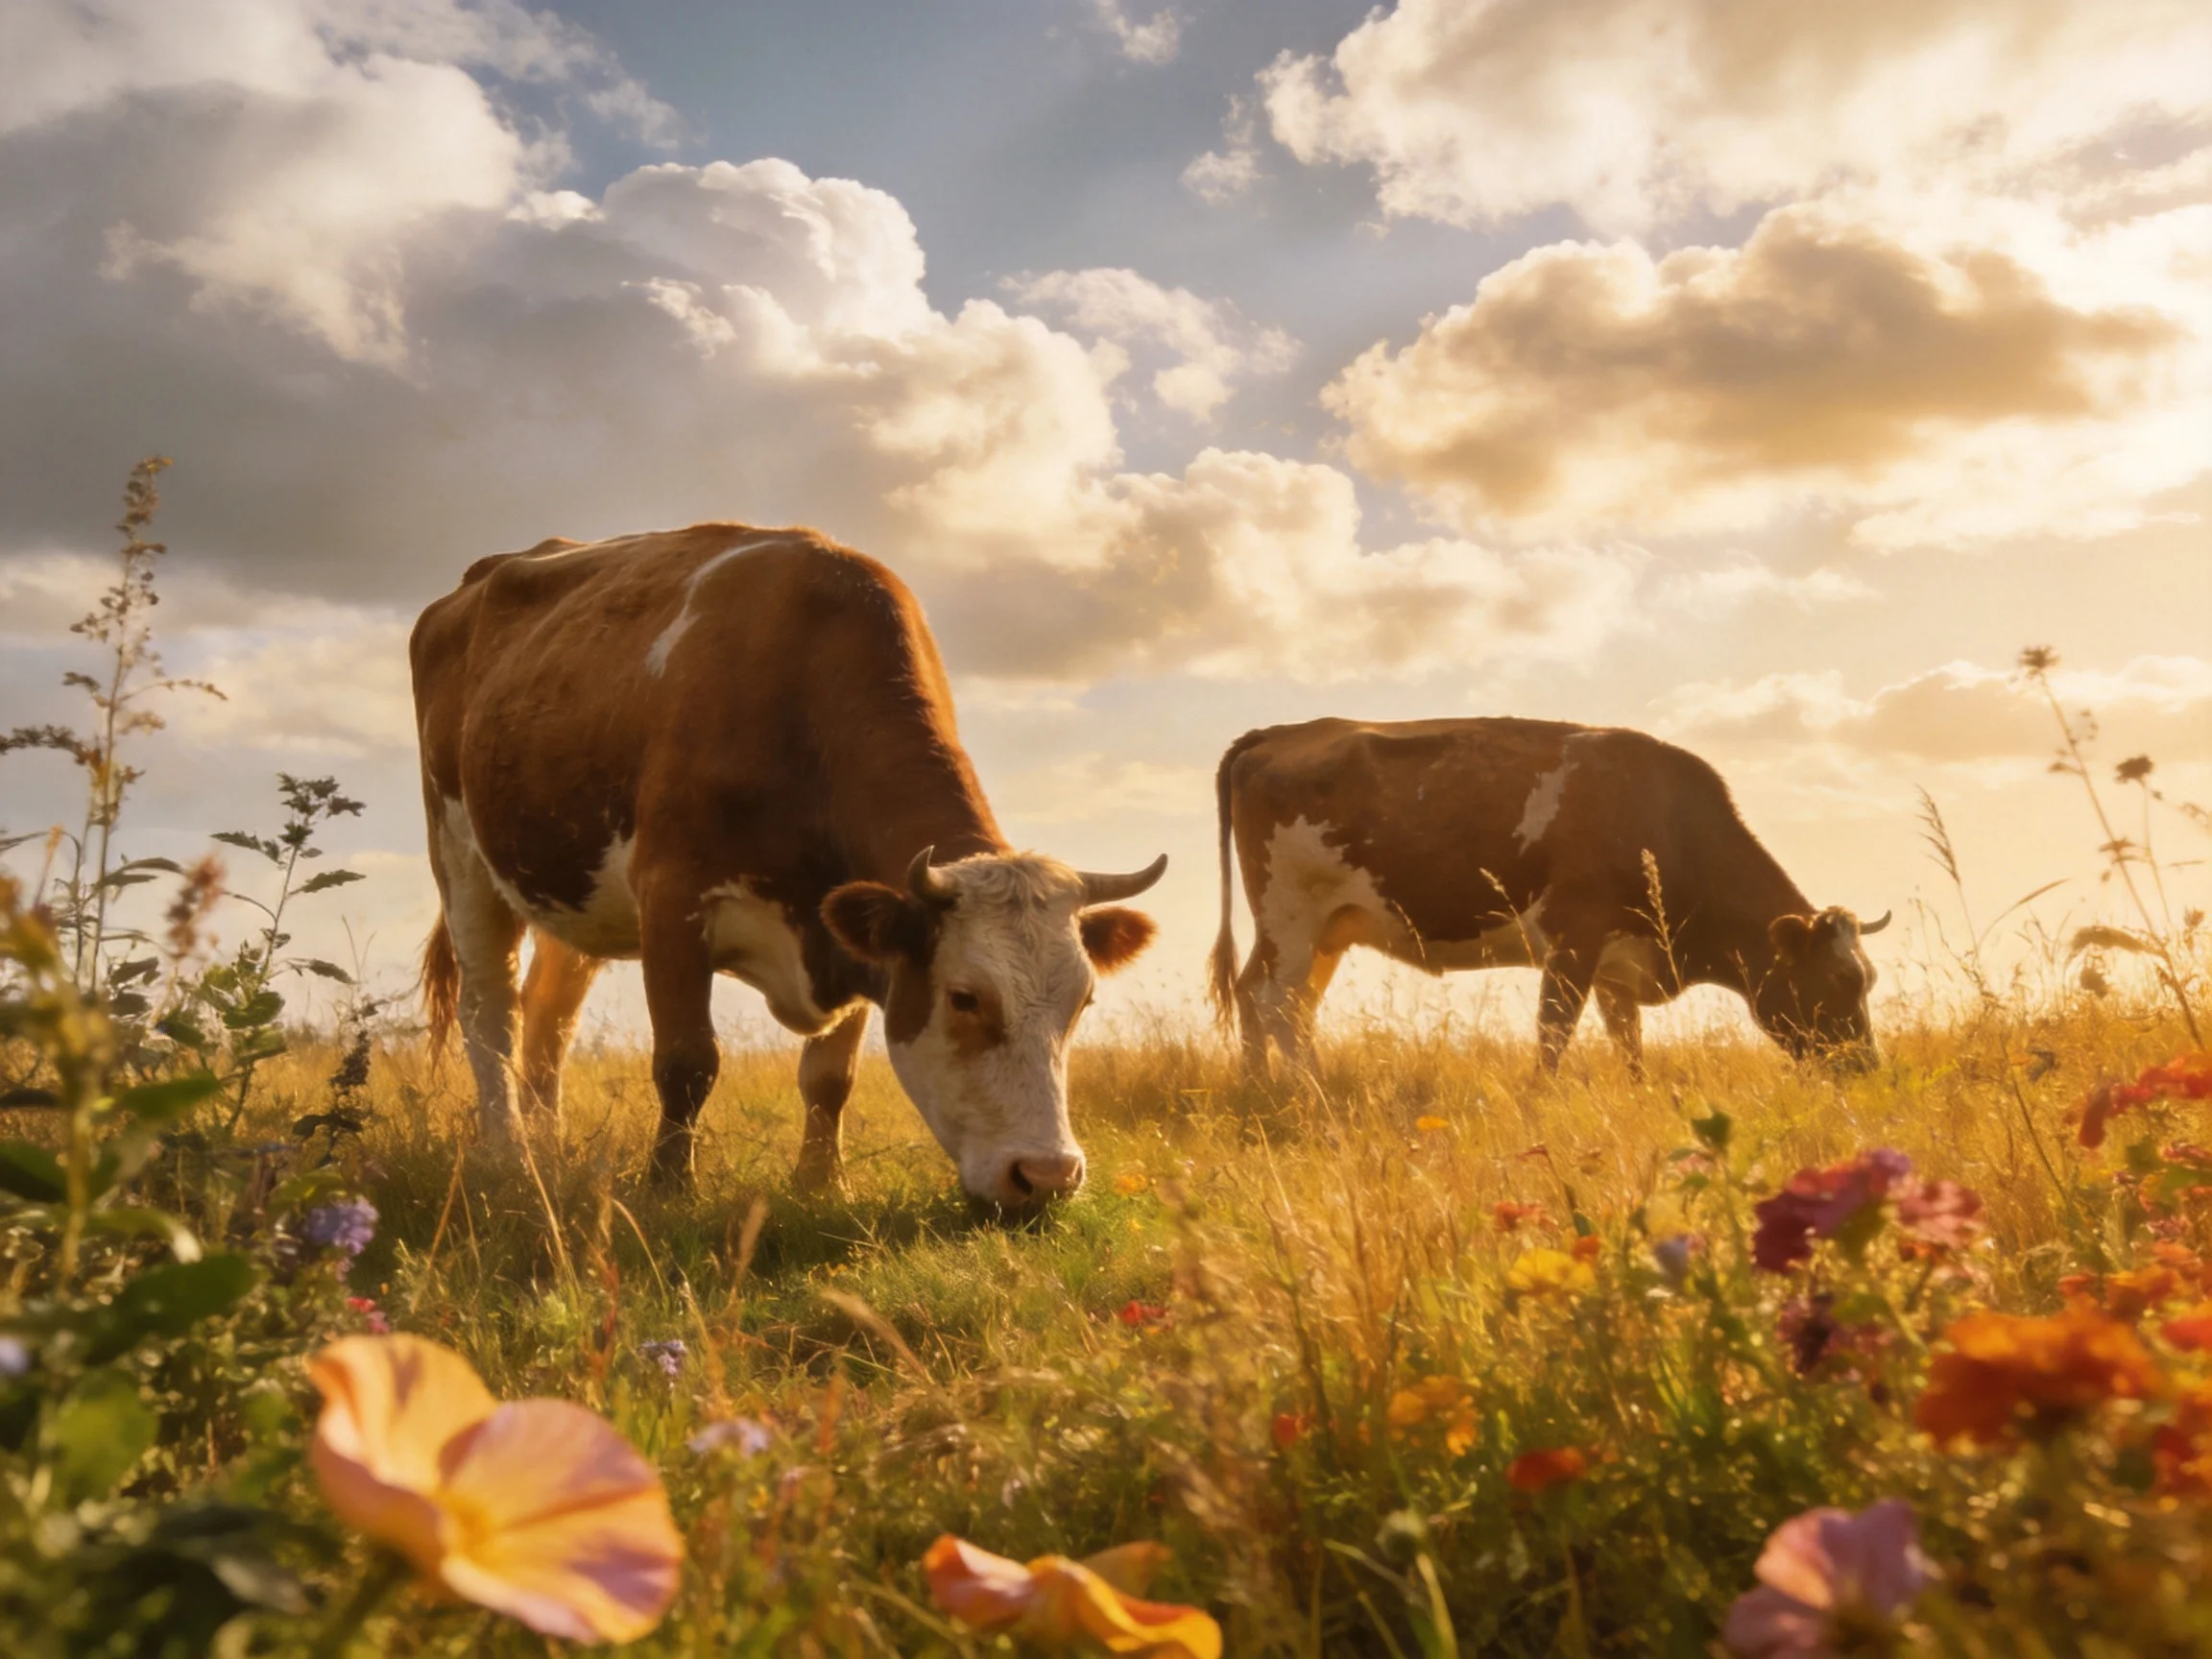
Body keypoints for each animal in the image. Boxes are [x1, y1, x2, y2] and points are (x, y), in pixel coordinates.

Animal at [410, 523, 1166, 1214]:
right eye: (964, 997)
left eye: (1083, 1001)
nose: (1048, 1176)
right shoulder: (673, 899)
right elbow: (687, 1060)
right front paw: (669, 1190)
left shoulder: (849, 927)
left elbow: (830, 1078)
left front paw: (821, 1183)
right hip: (460, 855)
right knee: (491, 1012)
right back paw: (509, 1155)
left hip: (573, 896)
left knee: (549, 1019)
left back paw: (548, 1149)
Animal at [1207, 717, 1889, 1076]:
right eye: (1839, 981)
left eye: (1868, 979)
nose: (1868, 1067)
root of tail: (1279, 733)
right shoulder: (1573, 940)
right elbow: (1553, 1035)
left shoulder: (1617, 963)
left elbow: (1629, 1045)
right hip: (1293, 920)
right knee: (1277, 1003)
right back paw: (1311, 1091)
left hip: (1325, 931)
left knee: (1265, 997)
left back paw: (1261, 1088)